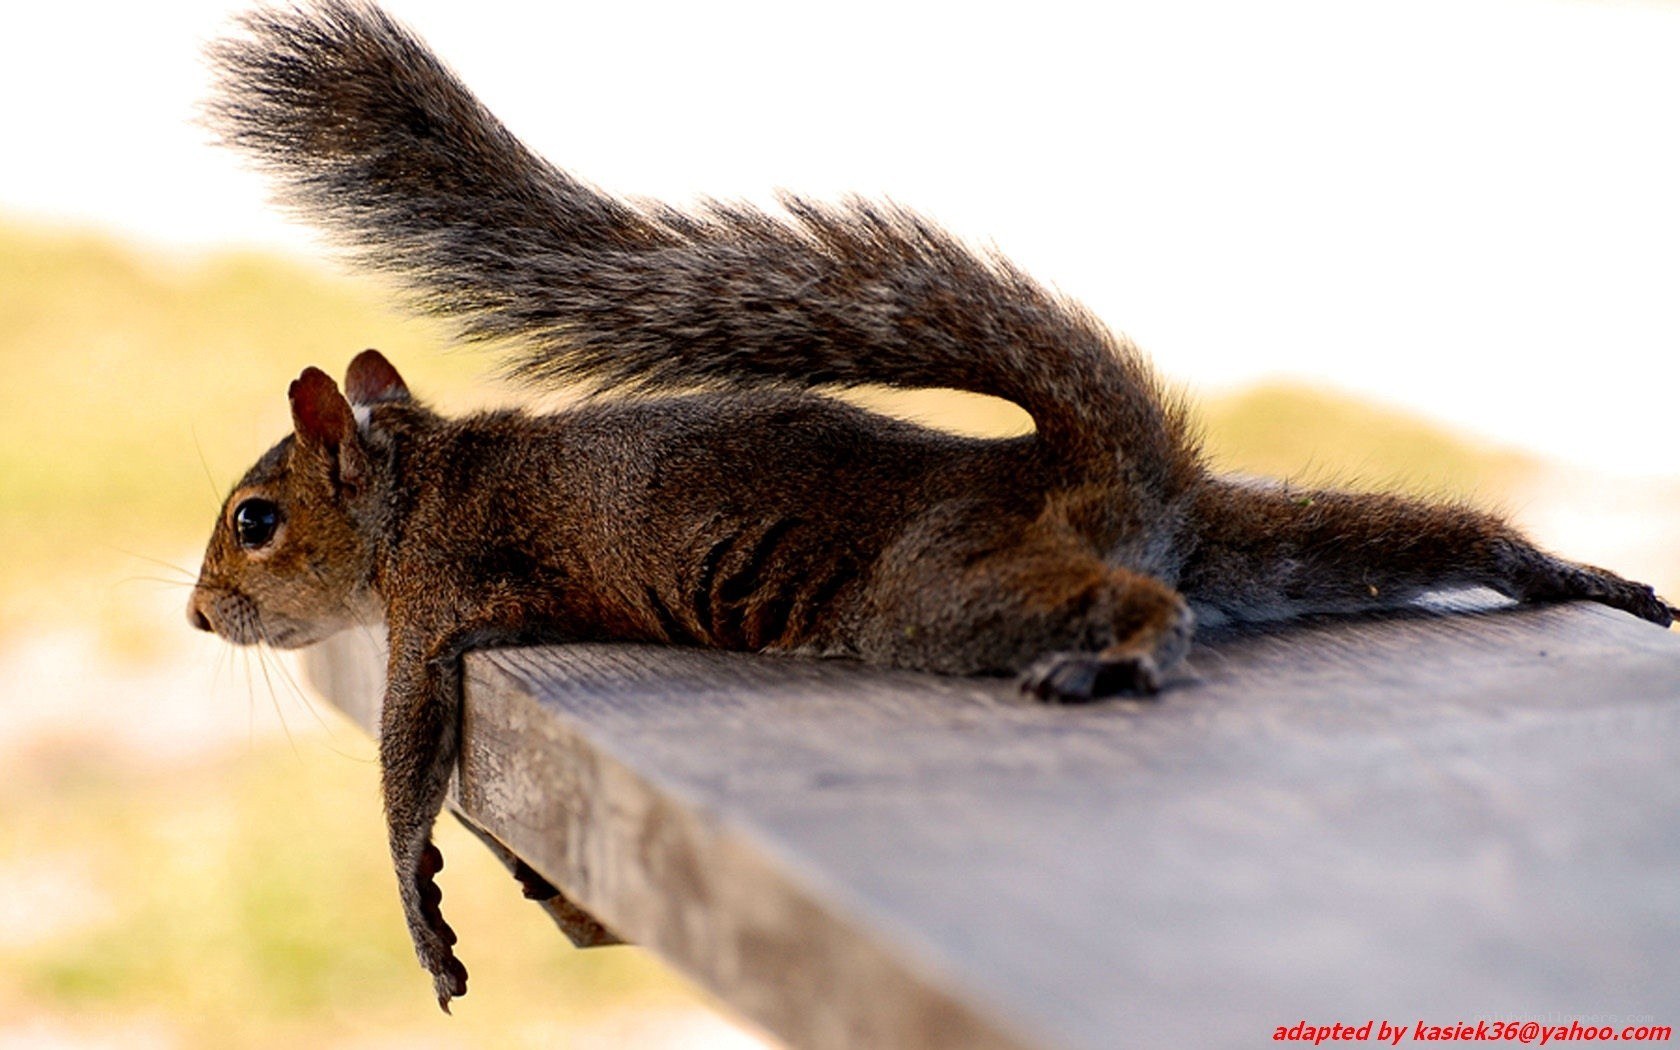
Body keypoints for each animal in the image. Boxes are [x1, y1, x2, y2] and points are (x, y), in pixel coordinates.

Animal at [188, 0, 1677, 1011]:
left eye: (255, 519)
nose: (201, 617)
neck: (416, 483)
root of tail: (1092, 466)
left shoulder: (435, 600)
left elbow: (404, 767)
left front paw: (425, 917)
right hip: (1260, 536)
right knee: (1407, 540)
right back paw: (1577, 576)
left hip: (939, 586)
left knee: (1142, 599)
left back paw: (1126, 651)